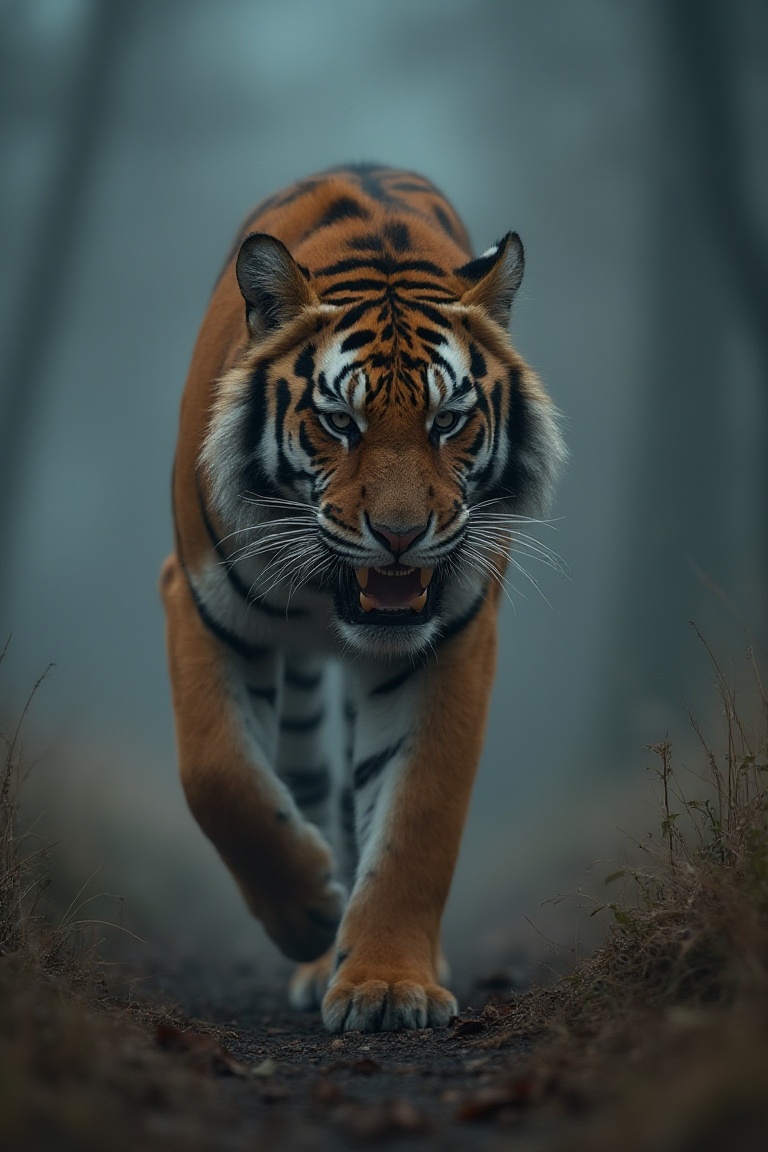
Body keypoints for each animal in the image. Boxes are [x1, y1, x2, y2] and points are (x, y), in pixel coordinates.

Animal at [161, 164, 565, 1033]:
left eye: (449, 421)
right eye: (338, 422)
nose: (401, 536)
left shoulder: (451, 638)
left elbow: (417, 817)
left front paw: (385, 983)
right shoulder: (202, 603)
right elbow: (217, 775)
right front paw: (309, 912)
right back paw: (319, 948)